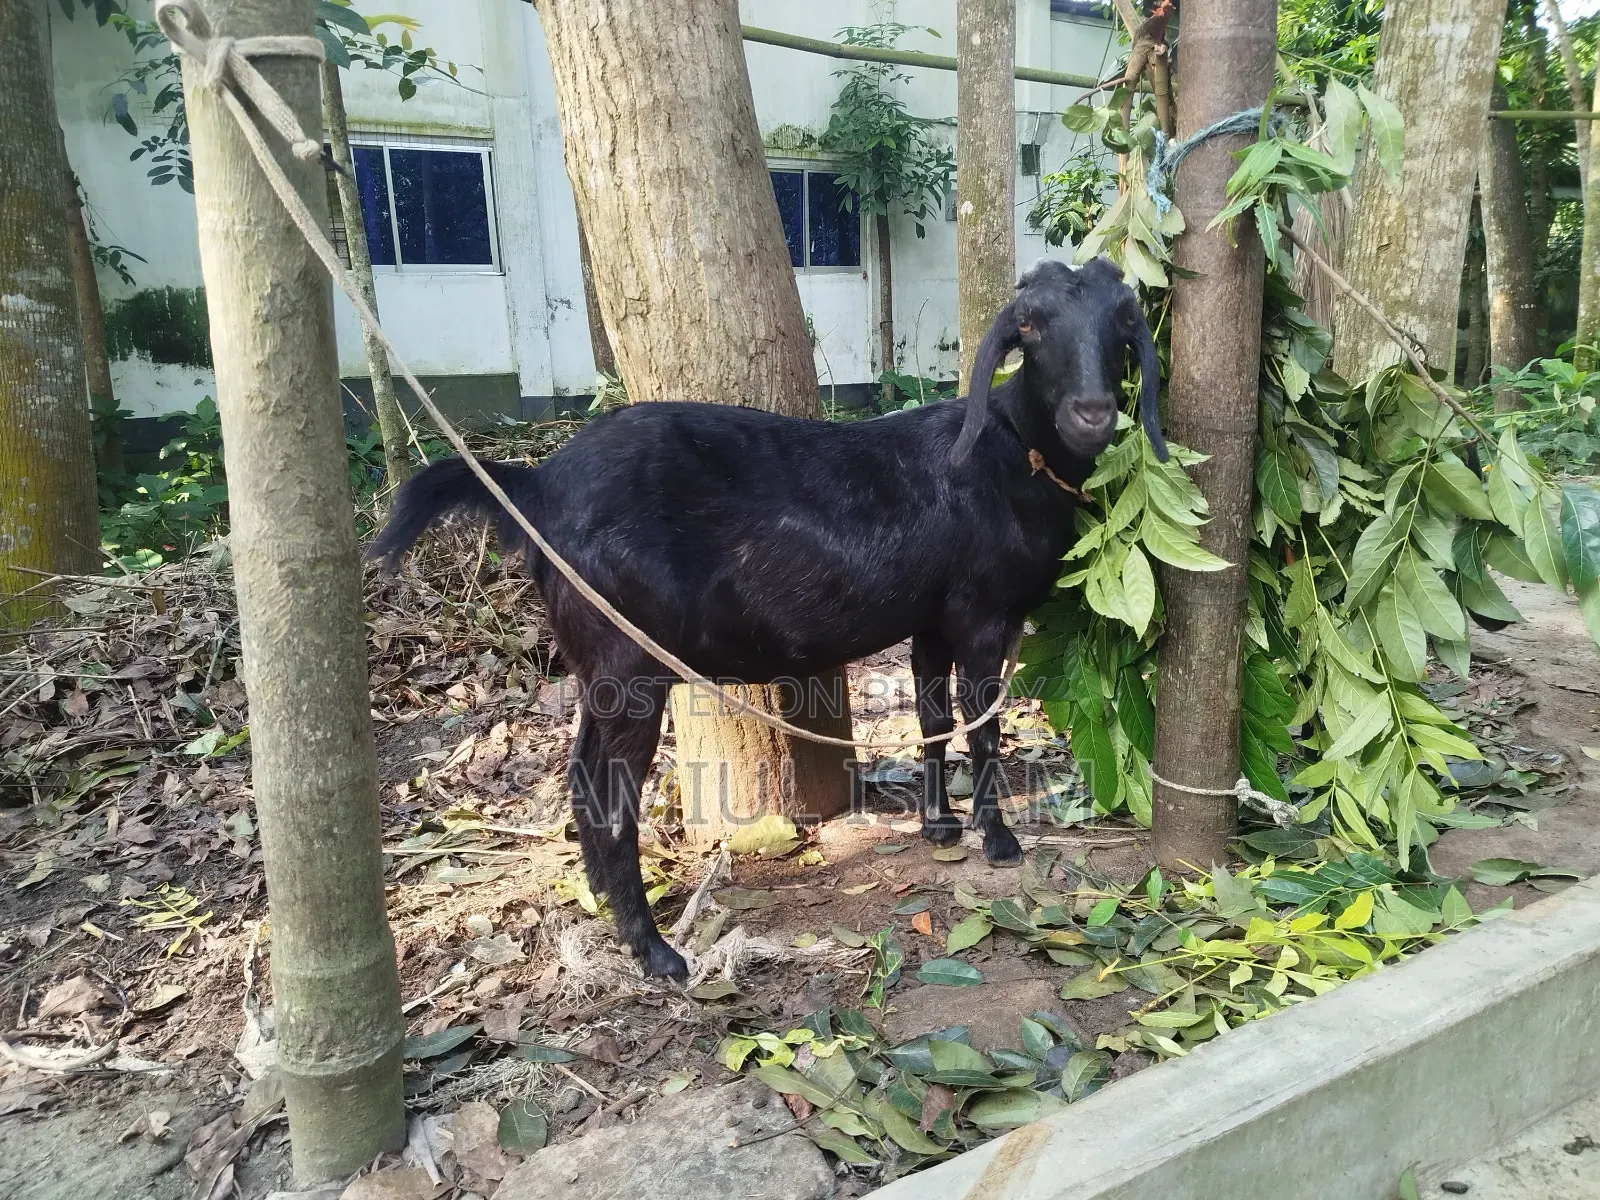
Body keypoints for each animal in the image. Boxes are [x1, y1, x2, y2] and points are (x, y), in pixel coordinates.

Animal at [372, 255, 1168, 982]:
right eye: (1031, 328)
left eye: (1121, 324)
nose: (1093, 413)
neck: (1009, 453)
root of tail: (534, 487)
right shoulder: (982, 614)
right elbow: (982, 726)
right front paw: (997, 840)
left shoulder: (932, 619)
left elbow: (934, 719)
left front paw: (939, 825)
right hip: (630, 660)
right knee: (609, 790)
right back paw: (655, 951)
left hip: (597, 658)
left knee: (579, 776)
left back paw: (605, 900)